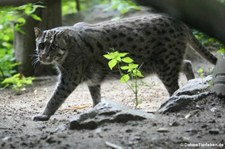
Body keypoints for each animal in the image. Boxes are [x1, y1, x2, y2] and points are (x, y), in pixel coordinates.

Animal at [32, 13, 216, 121]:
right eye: (41, 45)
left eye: (53, 46)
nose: (43, 56)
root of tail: (178, 21)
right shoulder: (93, 79)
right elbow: (96, 96)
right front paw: (96, 110)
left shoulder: (69, 78)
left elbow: (55, 98)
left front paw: (44, 115)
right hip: (168, 62)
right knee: (187, 64)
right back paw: (191, 83)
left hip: (166, 65)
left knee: (175, 86)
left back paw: (174, 99)